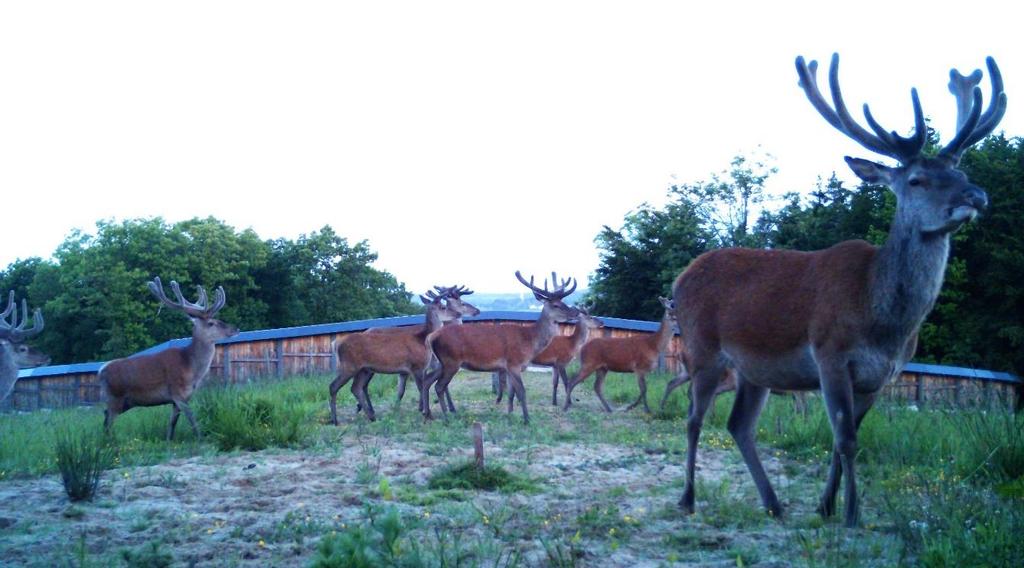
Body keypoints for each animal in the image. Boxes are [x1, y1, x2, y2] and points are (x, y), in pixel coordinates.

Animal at [100, 278, 239, 440]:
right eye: (211, 323)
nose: (236, 329)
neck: (190, 366)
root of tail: (101, 371)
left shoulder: (180, 398)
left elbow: (172, 423)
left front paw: (168, 441)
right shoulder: (177, 391)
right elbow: (192, 418)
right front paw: (201, 439)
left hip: (125, 402)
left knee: (105, 417)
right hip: (114, 397)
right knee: (109, 421)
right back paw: (110, 442)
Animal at [327, 290, 464, 423]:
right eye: (443, 307)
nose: (458, 314)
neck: (422, 340)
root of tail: (336, 344)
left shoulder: (414, 369)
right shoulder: (416, 366)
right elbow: (422, 388)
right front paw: (427, 414)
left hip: (364, 369)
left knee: (356, 388)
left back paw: (371, 416)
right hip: (349, 366)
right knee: (334, 386)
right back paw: (335, 419)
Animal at [421, 274, 577, 423]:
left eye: (564, 302)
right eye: (556, 305)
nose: (574, 313)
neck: (529, 341)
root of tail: (431, 336)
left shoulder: (508, 368)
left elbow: (511, 393)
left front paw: (510, 414)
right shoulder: (514, 363)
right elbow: (522, 392)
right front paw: (527, 420)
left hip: (444, 363)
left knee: (428, 381)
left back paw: (428, 414)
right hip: (451, 361)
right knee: (439, 386)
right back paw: (446, 417)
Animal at [675, 54, 1003, 528]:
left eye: (961, 170)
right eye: (917, 179)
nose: (976, 195)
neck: (884, 320)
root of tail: (682, 277)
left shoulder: (881, 376)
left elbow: (839, 438)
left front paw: (825, 506)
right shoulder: (830, 353)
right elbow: (846, 439)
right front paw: (851, 515)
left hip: (756, 370)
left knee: (739, 424)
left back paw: (773, 503)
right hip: (702, 348)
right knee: (693, 418)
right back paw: (687, 499)